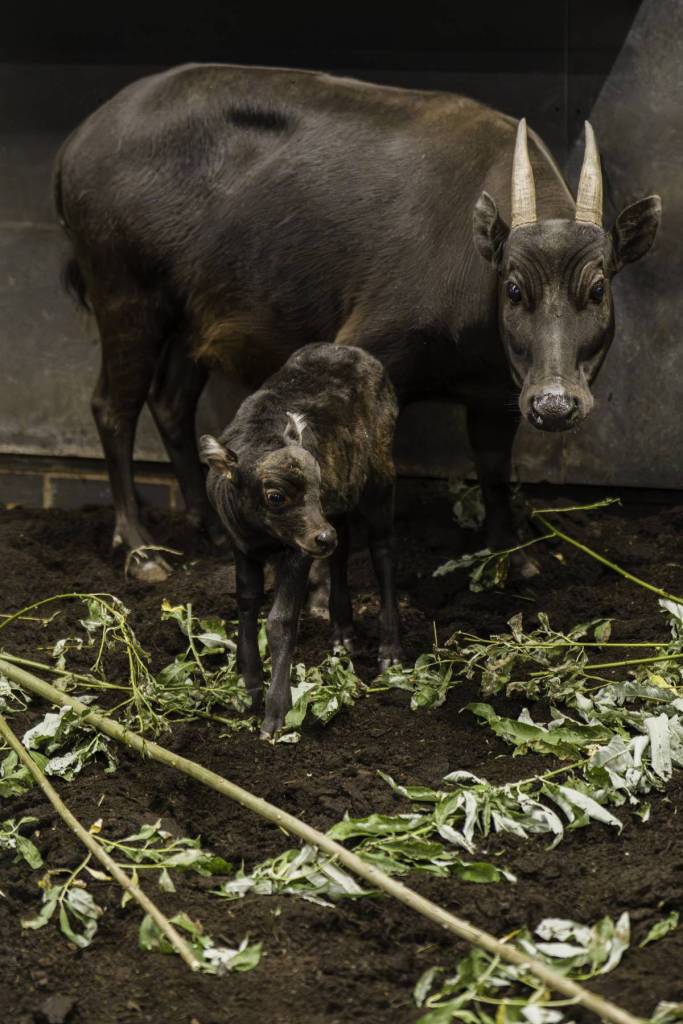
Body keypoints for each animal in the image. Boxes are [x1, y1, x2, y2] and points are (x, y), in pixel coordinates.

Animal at [53, 63, 661, 582]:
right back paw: (140, 550)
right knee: (113, 408)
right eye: (514, 288)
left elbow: (493, 471)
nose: (556, 404)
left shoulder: (497, 394)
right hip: (125, 295)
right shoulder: (367, 349)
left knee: (171, 403)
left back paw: (212, 529)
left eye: (598, 288)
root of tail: (77, 143)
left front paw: (511, 558)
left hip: (191, 316)